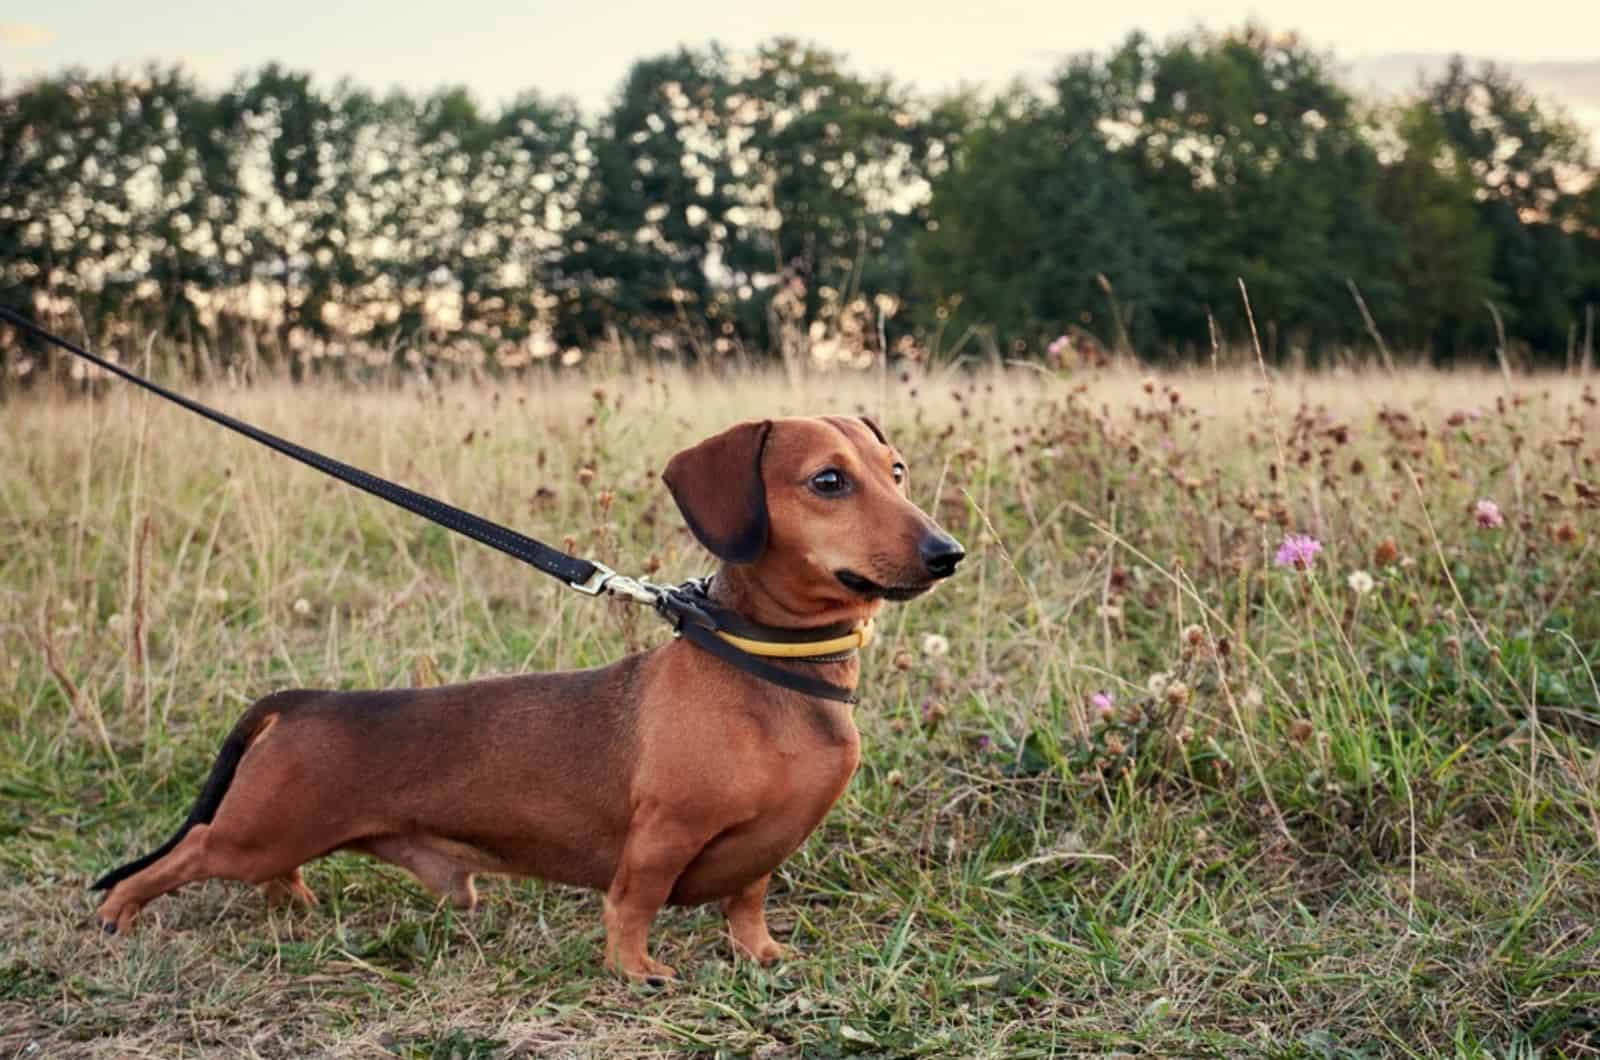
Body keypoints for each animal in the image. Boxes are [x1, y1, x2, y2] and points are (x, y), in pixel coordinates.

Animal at [90, 419, 960, 986]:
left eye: (897, 470)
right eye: (828, 481)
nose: (946, 554)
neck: (768, 671)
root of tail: (309, 700)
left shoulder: (763, 857)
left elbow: (747, 905)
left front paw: (762, 955)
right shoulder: (661, 837)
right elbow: (631, 908)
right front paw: (636, 972)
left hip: (275, 839)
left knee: (269, 873)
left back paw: (295, 906)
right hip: (249, 835)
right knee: (183, 856)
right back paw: (115, 919)